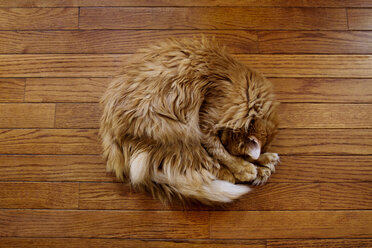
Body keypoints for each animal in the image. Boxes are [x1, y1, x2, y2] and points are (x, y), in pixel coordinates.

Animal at [99, 38, 280, 204]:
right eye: (228, 144)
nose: (223, 137)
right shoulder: (206, 123)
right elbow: (221, 152)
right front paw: (244, 167)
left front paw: (260, 160)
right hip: (178, 132)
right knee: (210, 171)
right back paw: (253, 171)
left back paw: (265, 165)